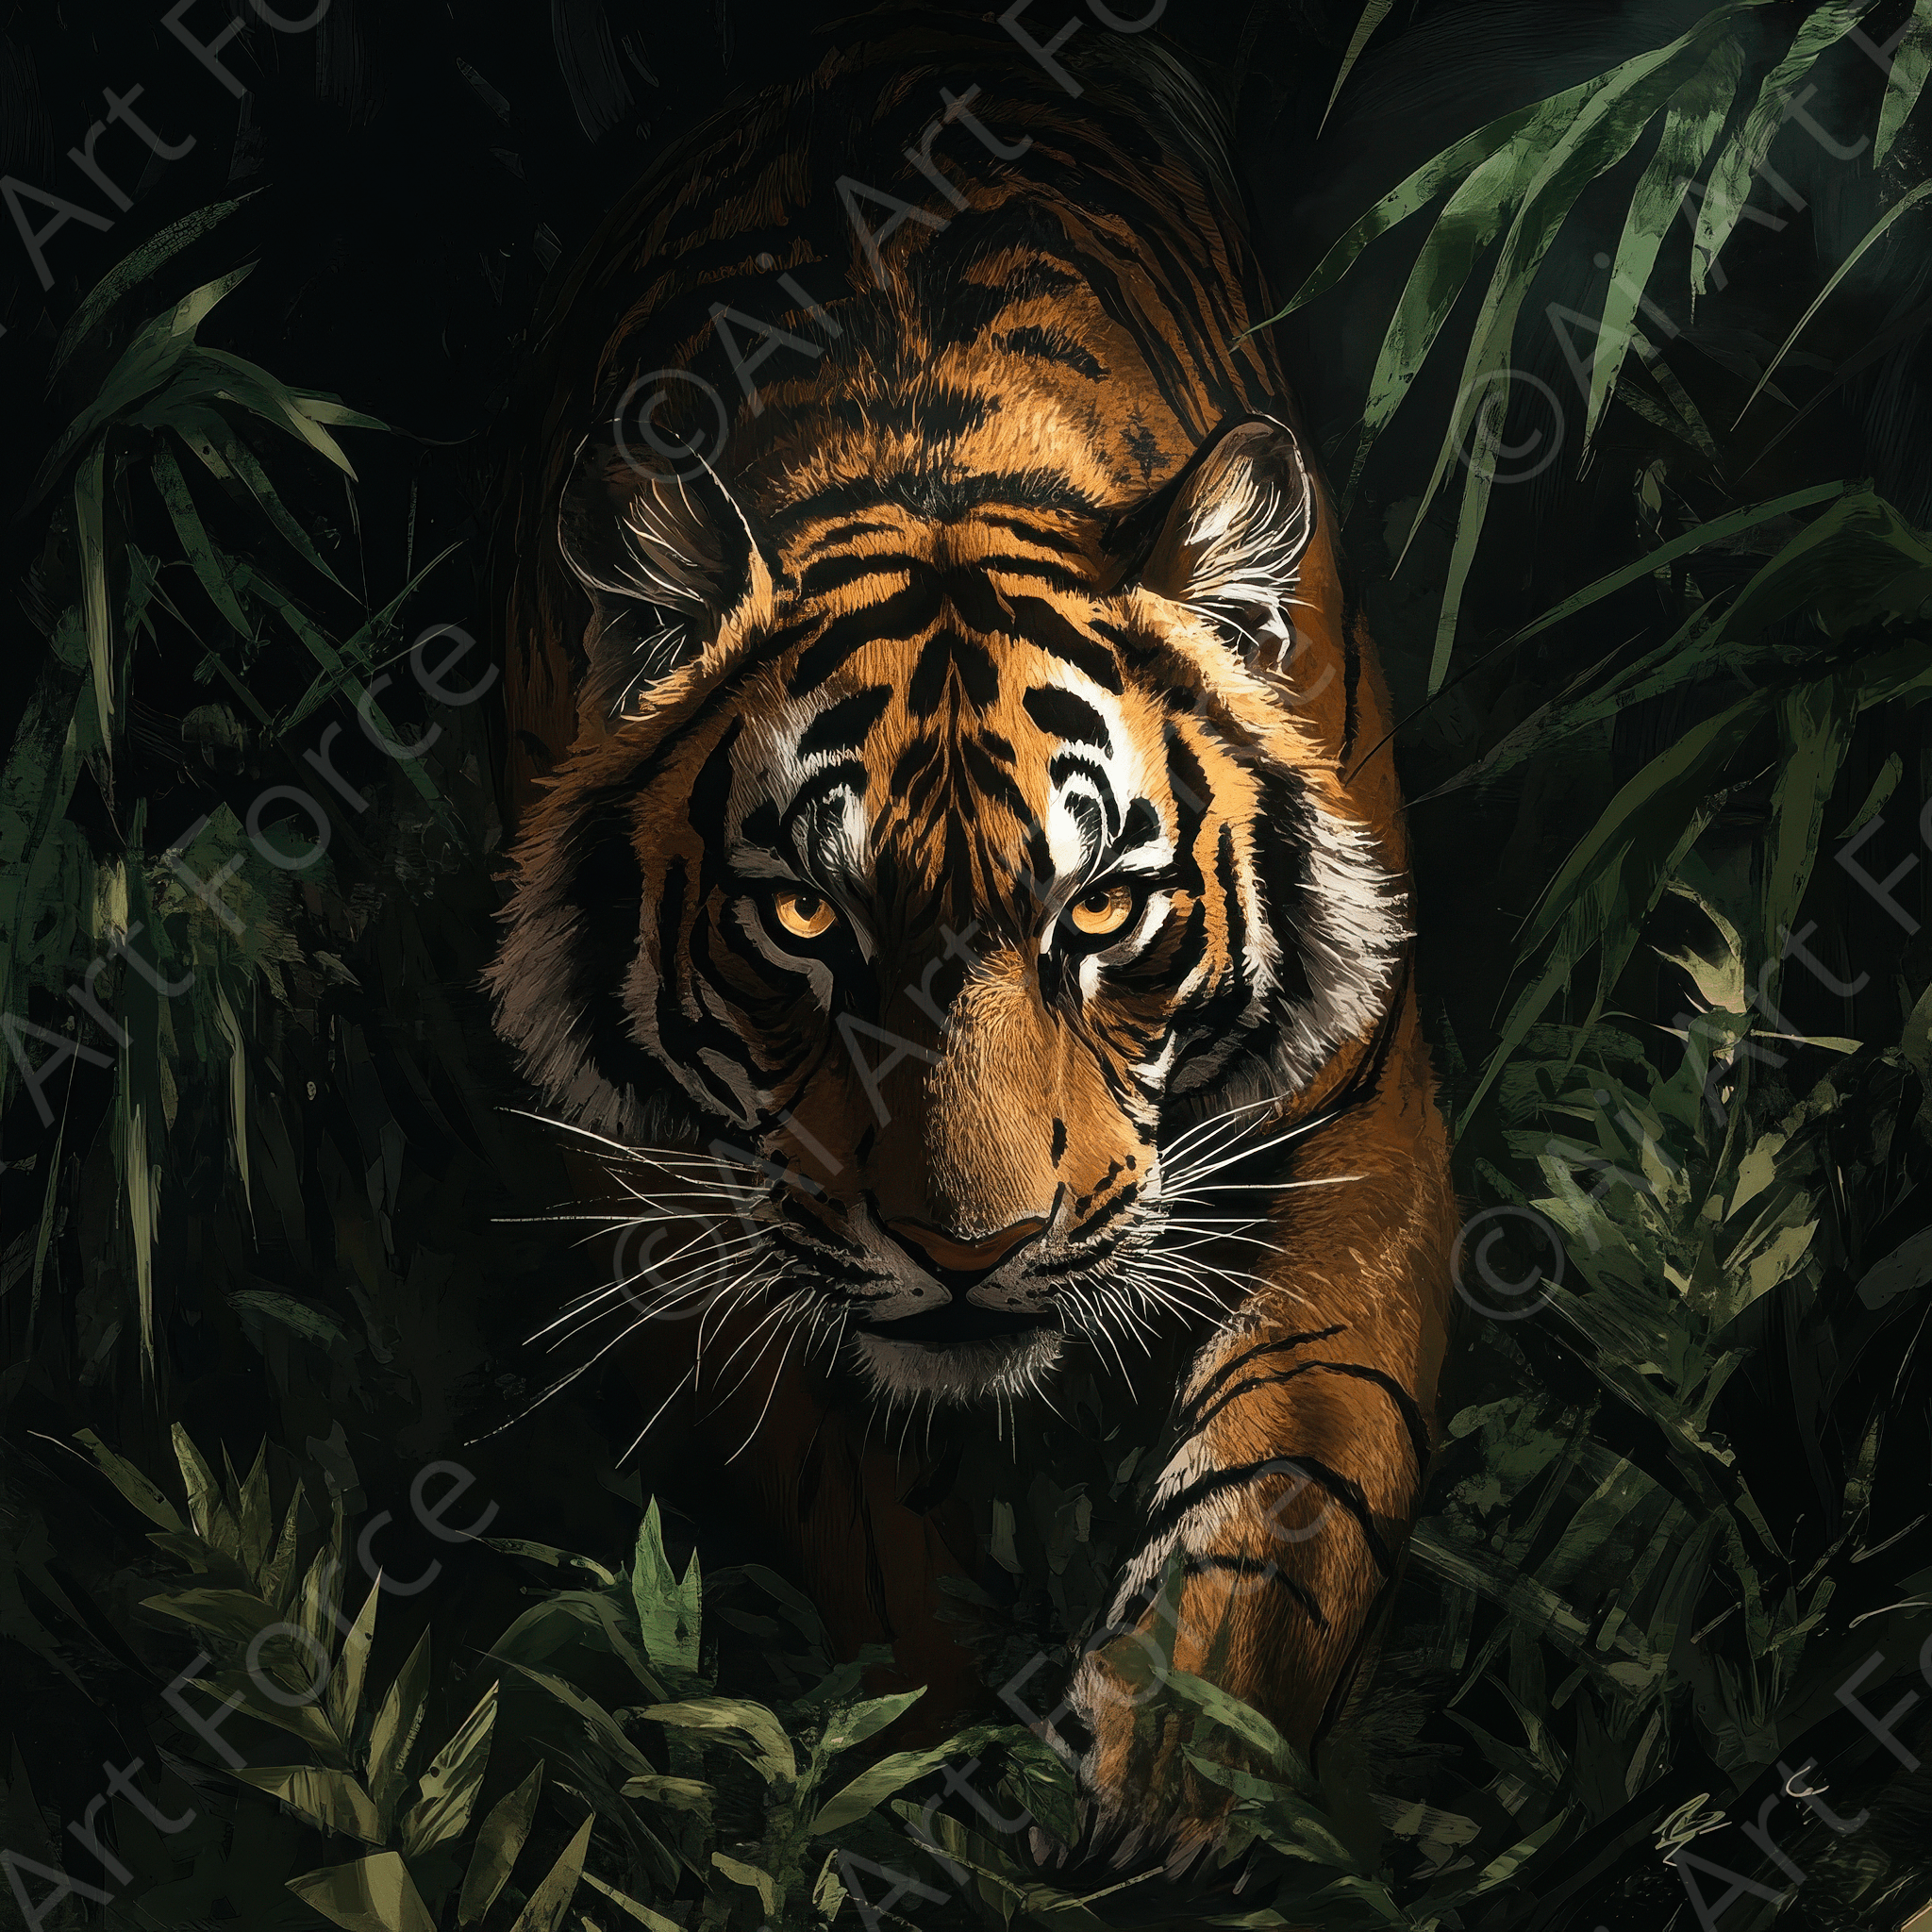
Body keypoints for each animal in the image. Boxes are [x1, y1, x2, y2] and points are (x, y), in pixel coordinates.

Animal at [487, 2, 1459, 1860]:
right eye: (805, 914)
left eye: (1102, 906)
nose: (970, 1248)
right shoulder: (672, 1203)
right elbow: (868, 1536)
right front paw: (922, 1778)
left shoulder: (1357, 1129)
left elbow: (1293, 1475)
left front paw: (1170, 1767)